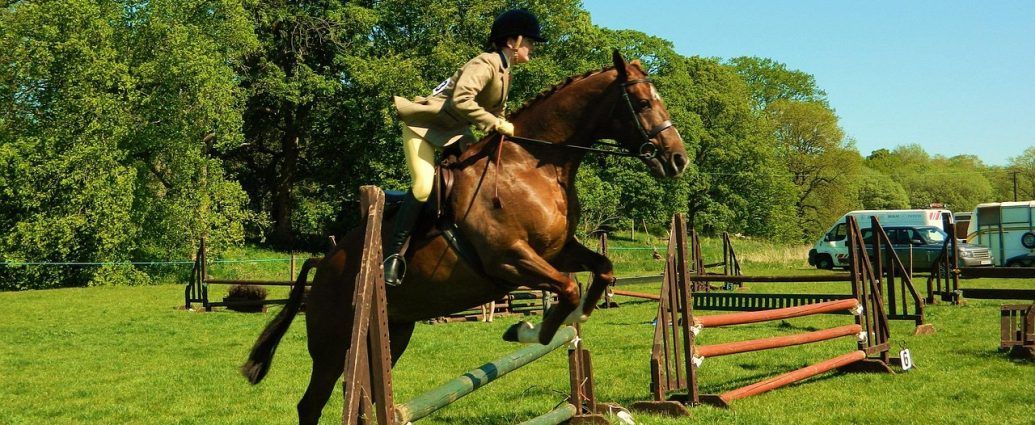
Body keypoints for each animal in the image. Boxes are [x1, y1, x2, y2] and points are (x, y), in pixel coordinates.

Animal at [241, 50, 689, 424]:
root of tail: (324, 263)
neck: (534, 164)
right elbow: (568, 289)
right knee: (311, 403)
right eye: (644, 103)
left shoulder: (557, 251)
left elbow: (601, 272)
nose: (678, 159)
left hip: (394, 332)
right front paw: (526, 330)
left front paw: (569, 322)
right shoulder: (509, 258)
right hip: (334, 343)